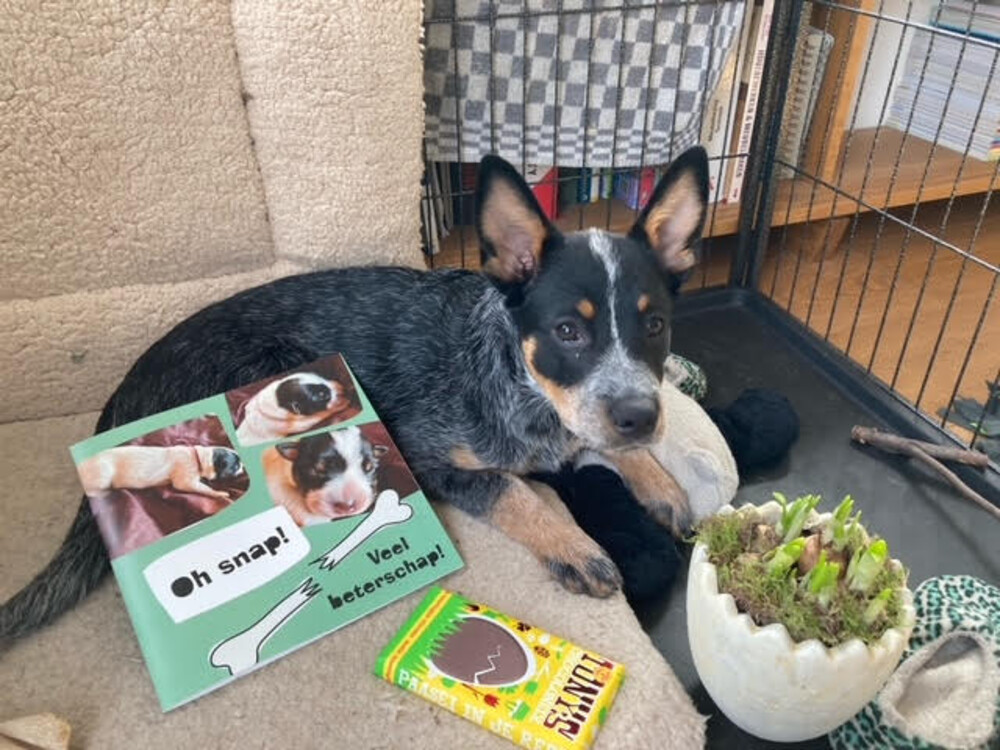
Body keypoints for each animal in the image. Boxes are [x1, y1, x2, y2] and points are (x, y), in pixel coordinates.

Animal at [78, 445, 245, 501]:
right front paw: (220, 493)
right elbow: (202, 488)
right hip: (103, 475)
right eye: (235, 466)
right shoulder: (185, 479)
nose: (243, 466)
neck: (199, 456)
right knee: (94, 492)